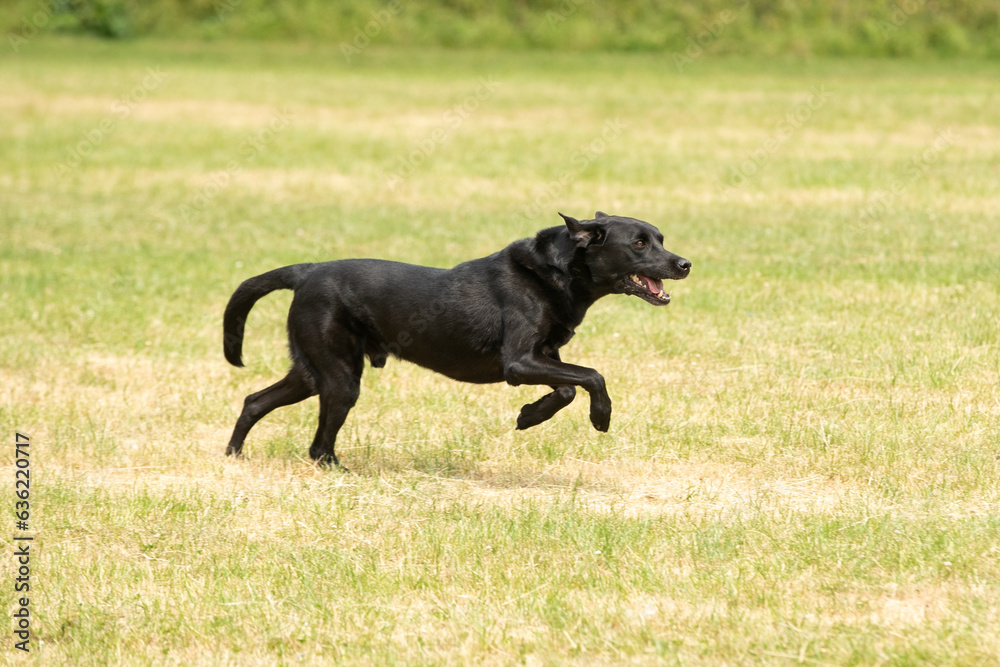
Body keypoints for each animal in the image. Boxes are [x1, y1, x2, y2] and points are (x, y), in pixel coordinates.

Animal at [223, 211, 692, 468]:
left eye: (661, 240)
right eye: (638, 243)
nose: (685, 264)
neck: (554, 274)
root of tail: (308, 271)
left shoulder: (544, 357)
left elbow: (566, 388)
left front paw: (528, 416)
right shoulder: (520, 362)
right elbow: (592, 376)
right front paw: (601, 417)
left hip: (312, 372)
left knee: (255, 401)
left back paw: (234, 455)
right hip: (339, 379)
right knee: (318, 446)